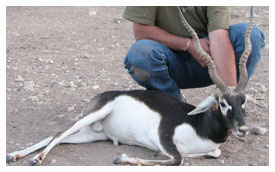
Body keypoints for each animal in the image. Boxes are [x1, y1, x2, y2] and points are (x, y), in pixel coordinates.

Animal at [6, 6, 256, 165]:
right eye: (222, 103)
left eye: (244, 102)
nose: (243, 129)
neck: (199, 125)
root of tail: (99, 97)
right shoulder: (164, 136)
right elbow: (178, 159)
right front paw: (124, 158)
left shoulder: (206, 149)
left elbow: (211, 153)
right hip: (96, 113)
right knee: (58, 134)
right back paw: (34, 158)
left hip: (92, 134)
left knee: (54, 137)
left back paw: (14, 155)